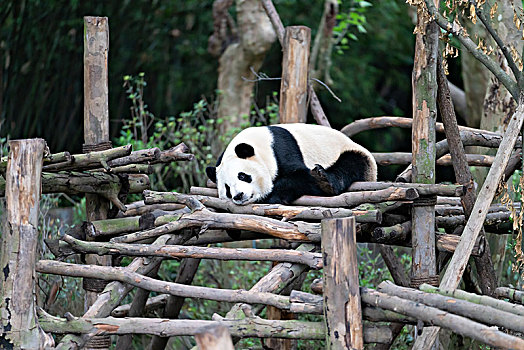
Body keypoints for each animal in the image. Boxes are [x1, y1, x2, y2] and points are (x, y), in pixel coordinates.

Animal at [206, 123, 376, 205]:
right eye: (227, 189)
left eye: (242, 176)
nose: (238, 196)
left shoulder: (282, 149)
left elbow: (303, 178)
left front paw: (271, 195)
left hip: (352, 153)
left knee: (349, 165)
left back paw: (325, 179)